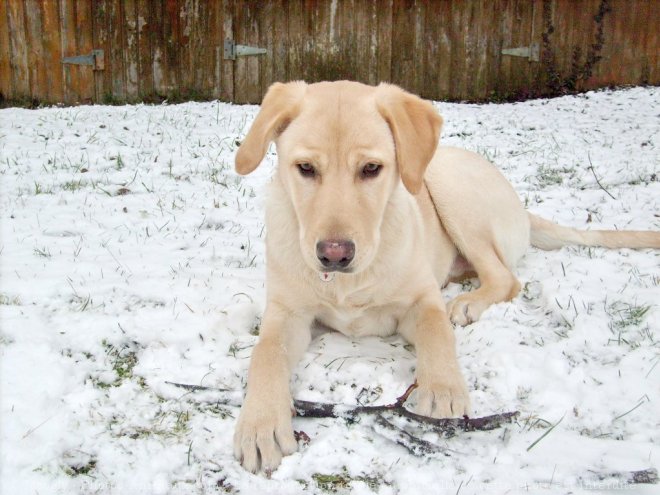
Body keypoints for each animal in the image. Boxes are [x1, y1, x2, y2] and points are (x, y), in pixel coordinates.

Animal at [229, 80, 656, 472]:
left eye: (371, 169)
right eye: (305, 168)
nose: (334, 255)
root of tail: (522, 208)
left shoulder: (421, 301)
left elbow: (436, 330)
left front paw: (443, 387)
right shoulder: (287, 314)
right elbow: (265, 354)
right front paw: (261, 425)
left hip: (449, 188)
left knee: (505, 278)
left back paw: (467, 303)